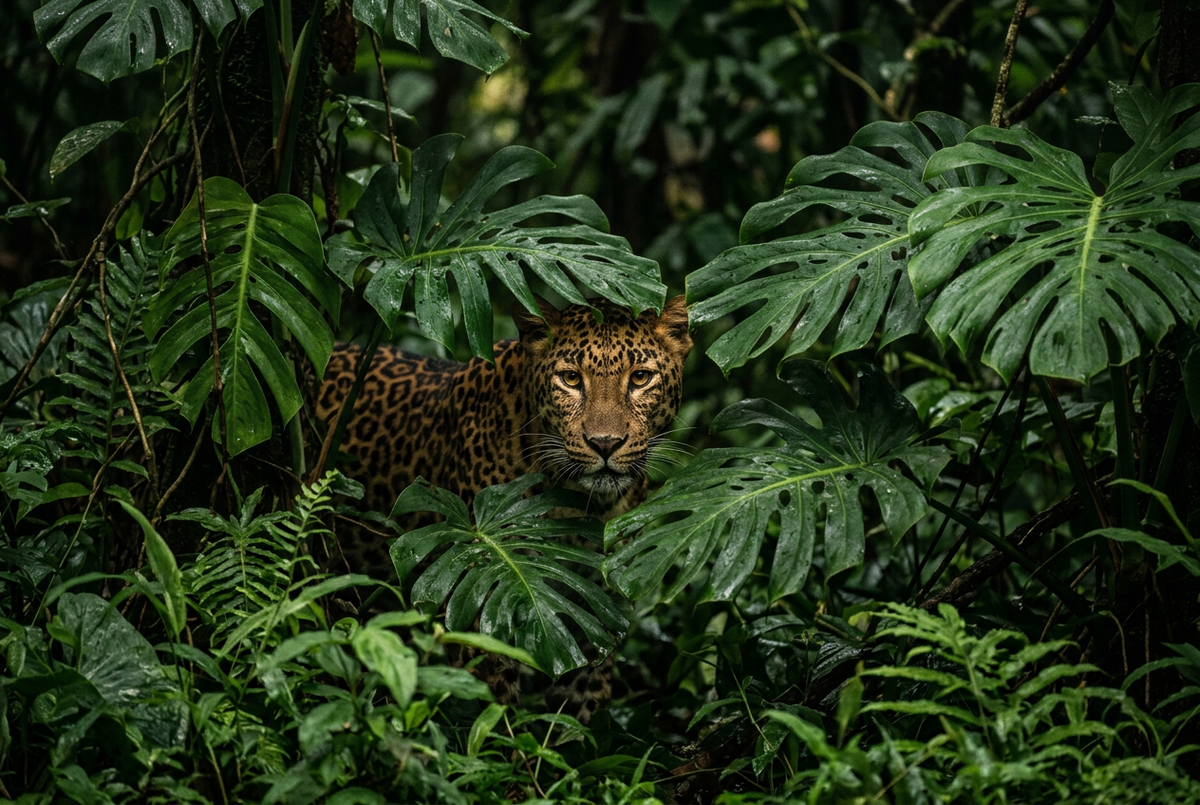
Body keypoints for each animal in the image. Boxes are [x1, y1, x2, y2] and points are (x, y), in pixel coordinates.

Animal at [316, 295, 692, 719]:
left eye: (641, 378)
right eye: (571, 379)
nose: (605, 443)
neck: (581, 507)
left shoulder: (599, 607)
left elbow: (576, 713)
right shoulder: (481, 602)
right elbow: (494, 712)